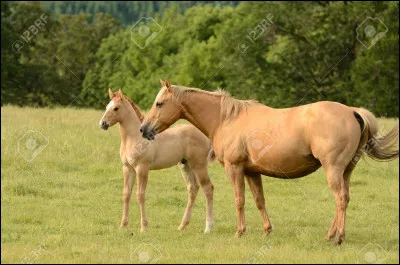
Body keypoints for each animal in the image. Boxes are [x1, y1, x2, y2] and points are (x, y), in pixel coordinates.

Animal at [100, 89, 216, 233]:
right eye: (106, 107)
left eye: (116, 108)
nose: (103, 124)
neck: (134, 138)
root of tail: (205, 135)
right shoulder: (127, 168)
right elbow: (126, 194)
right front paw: (123, 225)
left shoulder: (142, 168)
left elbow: (140, 195)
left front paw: (144, 227)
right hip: (186, 165)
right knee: (193, 189)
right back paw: (182, 225)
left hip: (199, 165)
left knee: (208, 188)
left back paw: (208, 227)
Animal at [140, 78, 396, 243]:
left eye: (159, 103)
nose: (144, 129)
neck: (226, 119)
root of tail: (353, 111)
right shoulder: (252, 172)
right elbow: (259, 201)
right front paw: (266, 230)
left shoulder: (234, 169)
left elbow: (239, 200)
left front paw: (240, 232)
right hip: (345, 171)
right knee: (345, 198)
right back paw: (331, 234)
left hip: (333, 169)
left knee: (340, 198)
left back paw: (338, 237)